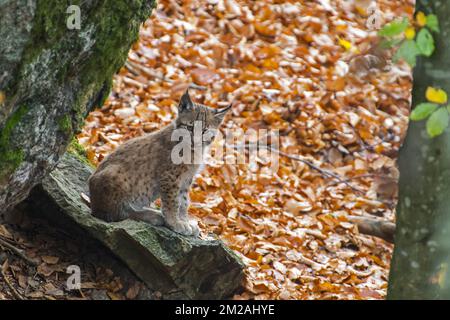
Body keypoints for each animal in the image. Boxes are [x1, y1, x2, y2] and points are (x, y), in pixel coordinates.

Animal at [88, 91, 230, 236]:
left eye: (204, 131)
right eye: (189, 127)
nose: (194, 142)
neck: (195, 150)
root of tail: (92, 202)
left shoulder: (187, 178)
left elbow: (184, 201)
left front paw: (184, 220)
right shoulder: (170, 177)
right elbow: (173, 201)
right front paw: (175, 223)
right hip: (116, 174)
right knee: (116, 214)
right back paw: (151, 216)